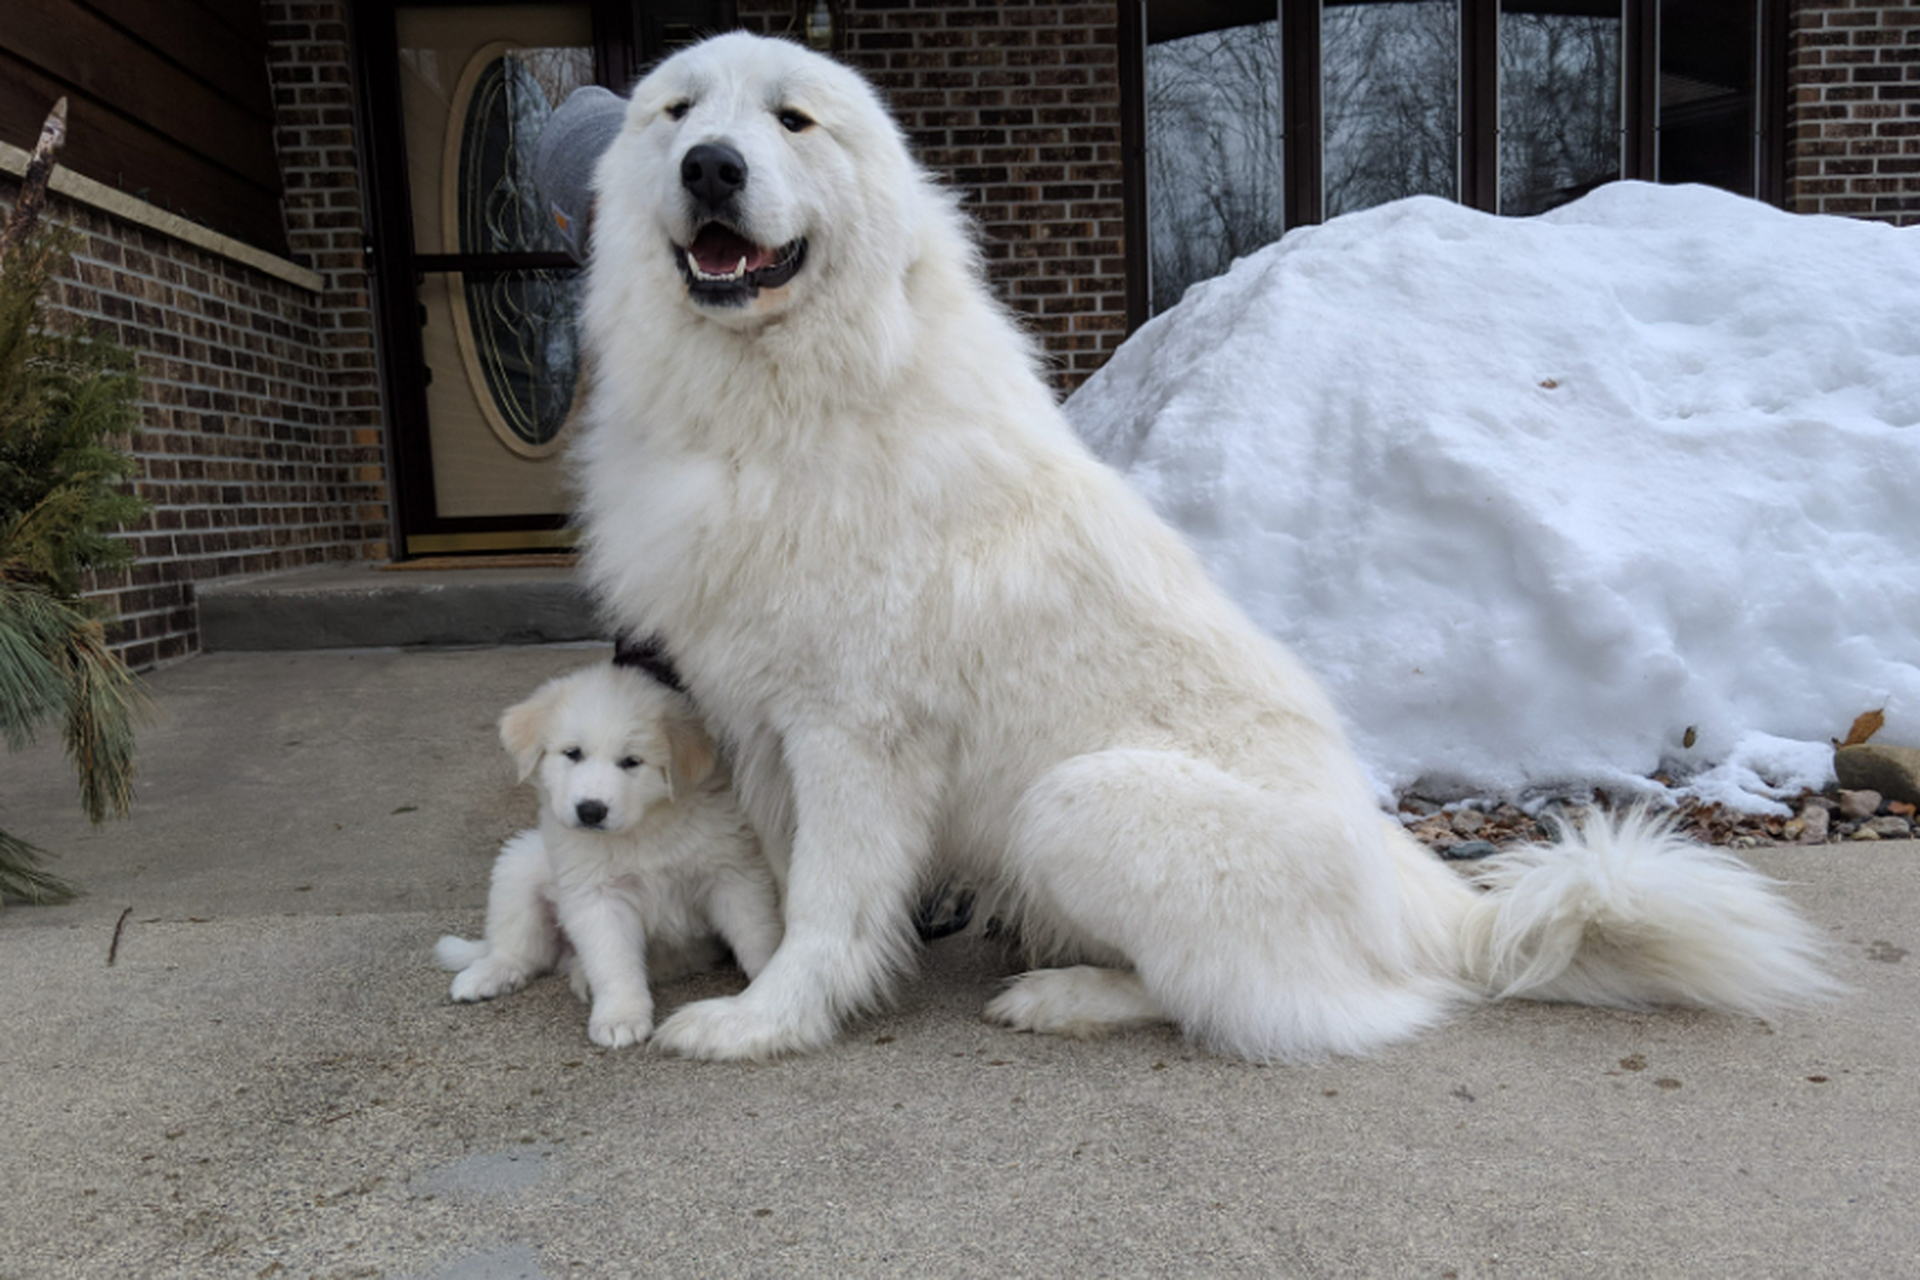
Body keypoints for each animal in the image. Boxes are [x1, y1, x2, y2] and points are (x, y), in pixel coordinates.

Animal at [439, 667, 783, 1043]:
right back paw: (485, 976)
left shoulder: (731, 874)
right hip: (519, 866)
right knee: (518, 951)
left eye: (631, 762)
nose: (590, 811)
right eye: (573, 753)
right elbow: (613, 960)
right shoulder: (597, 895)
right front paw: (620, 1016)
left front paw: (768, 988)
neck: (644, 827)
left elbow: (755, 933)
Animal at [572, 35, 1843, 1066]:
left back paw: (1066, 994)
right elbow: (788, 887)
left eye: (791, 121)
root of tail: (1424, 900)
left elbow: (829, 905)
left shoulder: (853, 732)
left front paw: (767, 1019)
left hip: (1076, 798)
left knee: (1252, 998)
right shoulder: (765, 722)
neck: (787, 395)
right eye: (678, 112)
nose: (712, 168)